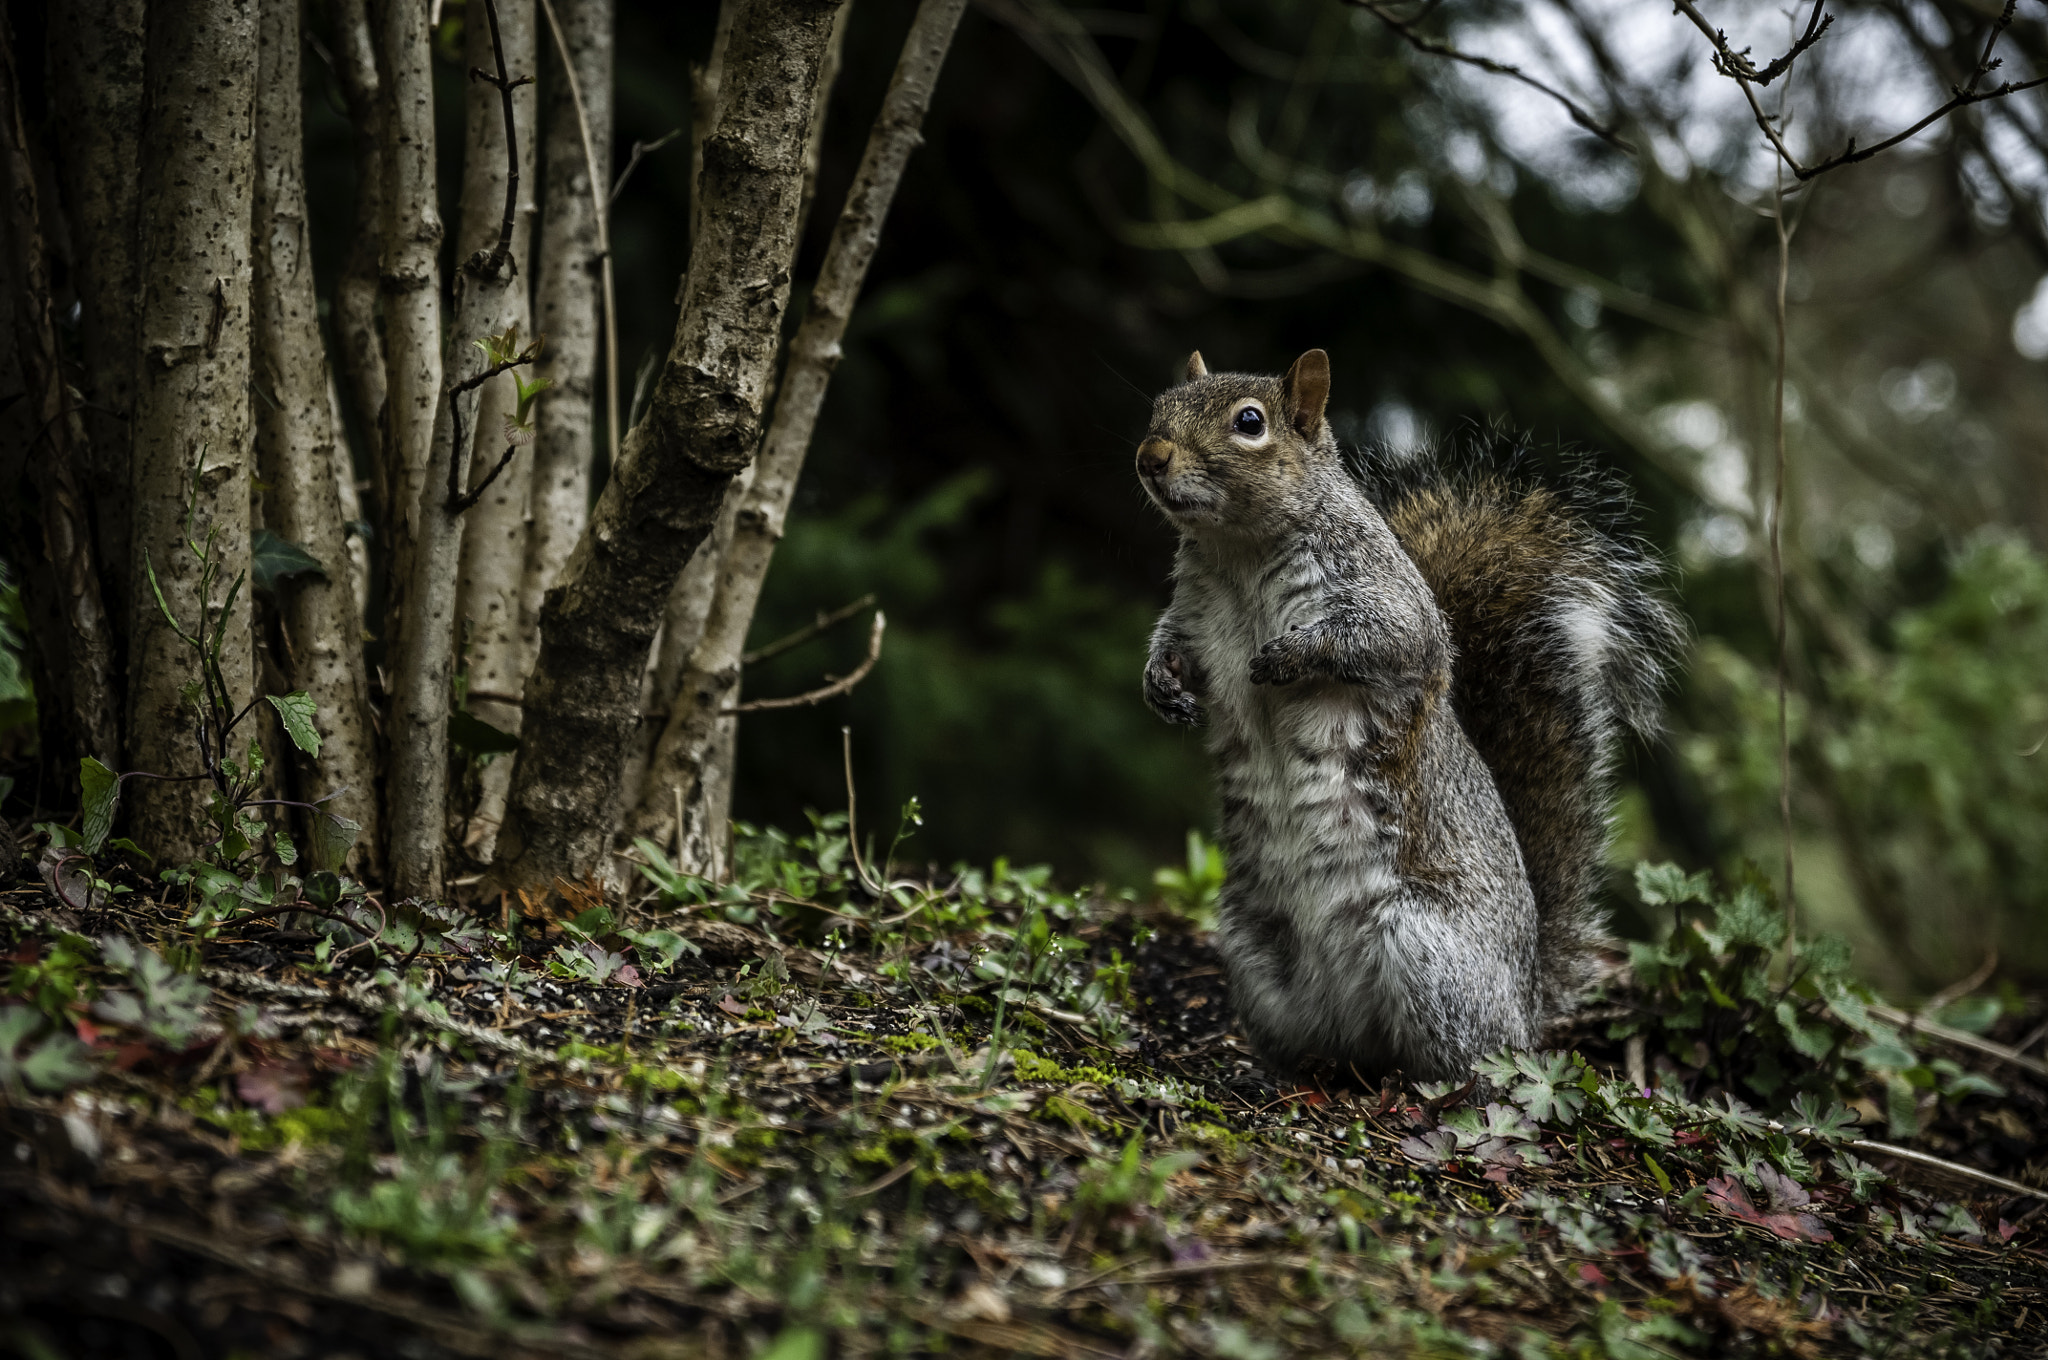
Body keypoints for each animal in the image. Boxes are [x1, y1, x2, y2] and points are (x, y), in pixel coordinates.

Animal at [1138, 350, 1679, 1081]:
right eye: (1160, 405)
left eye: (1249, 423)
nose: (1150, 456)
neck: (1238, 553)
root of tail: (1527, 1005)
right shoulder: (1193, 615)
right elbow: (1171, 647)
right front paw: (1160, 685)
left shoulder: (1387, 598)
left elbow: (1383, 639)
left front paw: (1286, 655)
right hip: (1255, 950)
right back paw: (1283, 1069)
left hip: (1422, 949)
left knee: (1467, 1056)